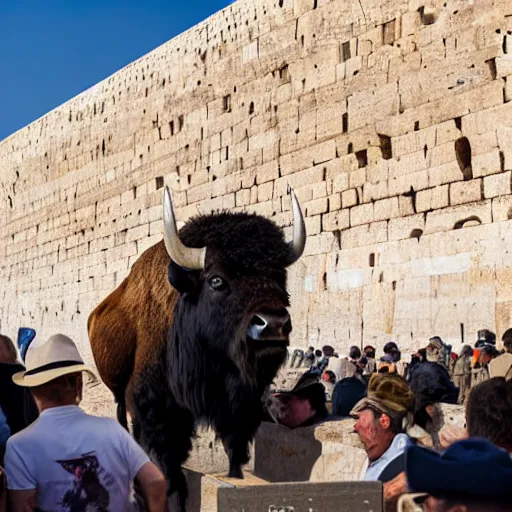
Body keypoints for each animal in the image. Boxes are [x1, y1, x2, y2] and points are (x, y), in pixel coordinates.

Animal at [87, 186, 304, 510]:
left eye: (280, 276)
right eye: (216, 280)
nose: (273, 325)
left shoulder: (240, 407)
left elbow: (234, 451)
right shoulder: (155, 410)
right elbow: (167, 471)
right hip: (118, 395)